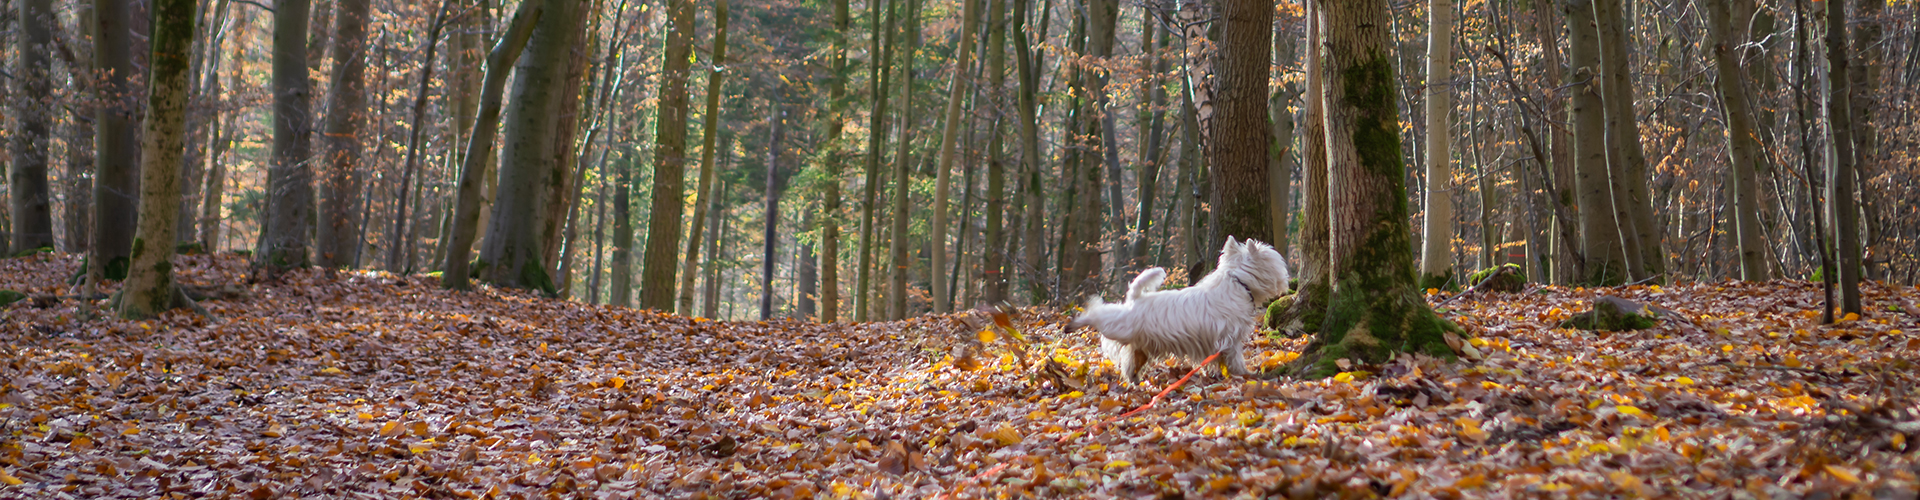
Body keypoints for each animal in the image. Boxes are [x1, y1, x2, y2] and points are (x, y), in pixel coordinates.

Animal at [1067, 236, 1290, 384]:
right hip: (1121, 327)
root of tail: (1135, 299)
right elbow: (1234, 357)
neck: (1238, 282)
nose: (1286, 279)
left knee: (1131, 361)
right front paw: (1243, 373)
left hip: (1139, 343)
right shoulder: (1230, 337)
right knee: (1099, 314)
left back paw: (1135, 379)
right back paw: (1074, 322)